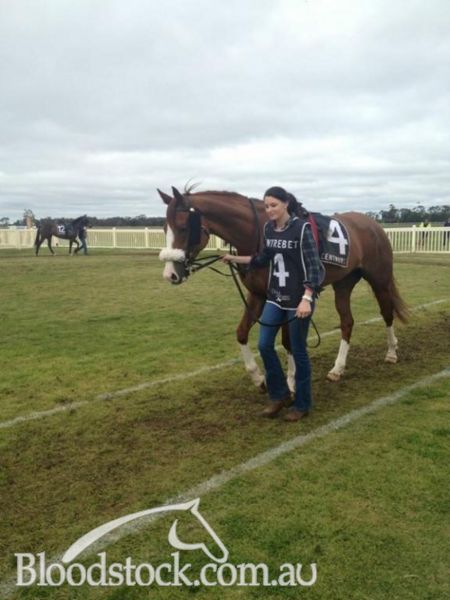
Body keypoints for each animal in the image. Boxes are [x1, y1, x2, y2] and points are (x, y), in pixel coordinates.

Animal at [158, 186, 408, 385]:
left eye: (183, 227)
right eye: (164, 228)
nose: (170, 274)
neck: (259, 234)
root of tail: (373, 224)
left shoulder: (288, 299)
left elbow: (288, 342)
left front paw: (291, 382)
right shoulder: (258, 295)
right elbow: (241, 333)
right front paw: (259, 377)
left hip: (380, 280)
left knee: (387, 312)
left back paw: (392, 352)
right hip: (344, 284)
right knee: (347, 322)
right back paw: (337, 369)